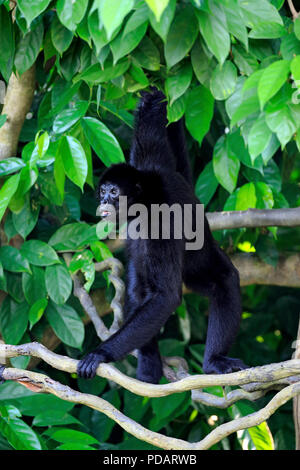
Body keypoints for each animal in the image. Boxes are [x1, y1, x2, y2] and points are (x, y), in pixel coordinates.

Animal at [77, 90, 246, 384]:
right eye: (103, 190)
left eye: (113, 191)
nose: (103, 200)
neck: (146, 200)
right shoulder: (148, 163)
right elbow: (151, 127)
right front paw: (153, 95)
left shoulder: (163, 222)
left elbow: (165, 296)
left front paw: (100, 354)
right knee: (139, 289)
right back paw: (149, 361)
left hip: (197, 264)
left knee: (224, 279)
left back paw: (213, 362)